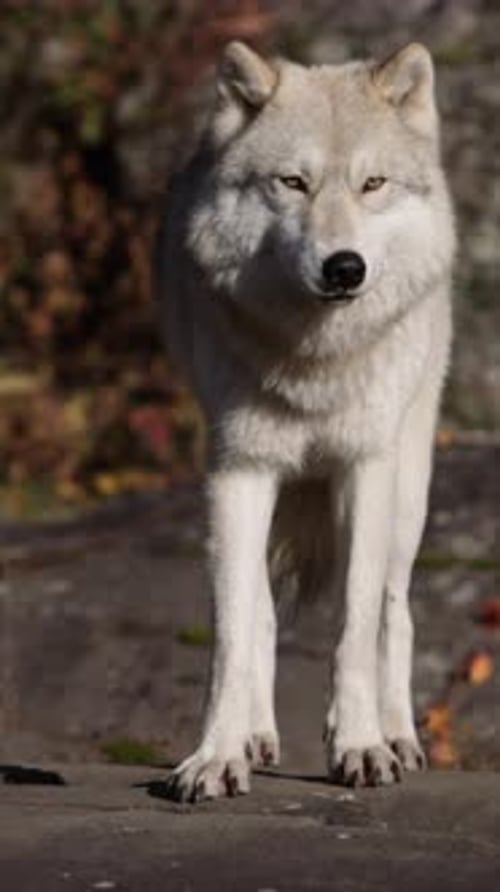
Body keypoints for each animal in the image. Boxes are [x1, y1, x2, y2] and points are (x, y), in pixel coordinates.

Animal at [157, 40, 455, 801]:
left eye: (373, 184)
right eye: (292, 183)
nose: (344, 268)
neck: (313, 366)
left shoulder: (364, 468)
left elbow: (354, 626)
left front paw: (361, 748)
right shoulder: (237, 470)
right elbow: (234, 628)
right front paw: (214, 757)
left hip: (408, 493)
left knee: (396, 612)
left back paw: (400, 737)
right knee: (261, 609)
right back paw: (255, 736)